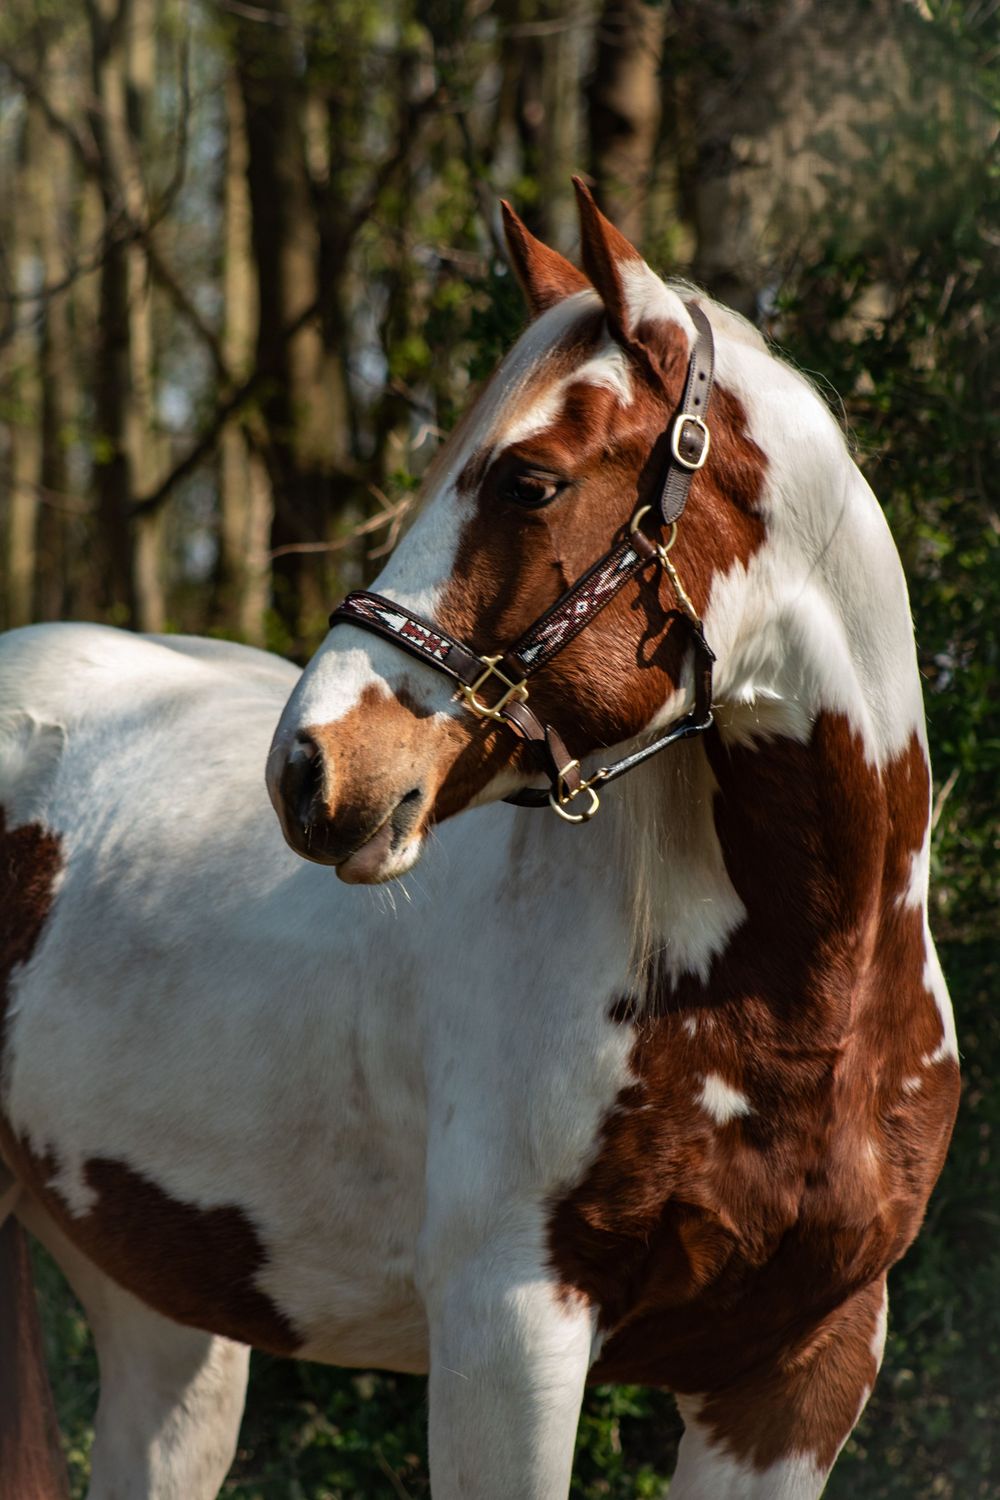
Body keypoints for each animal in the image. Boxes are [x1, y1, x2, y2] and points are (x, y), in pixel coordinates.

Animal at [0, 180, 959, 1500]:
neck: (795, 998)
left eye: (529, 482)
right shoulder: (510, 1331)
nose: (310, 767)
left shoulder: (797, 1376)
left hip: (165, 1316)